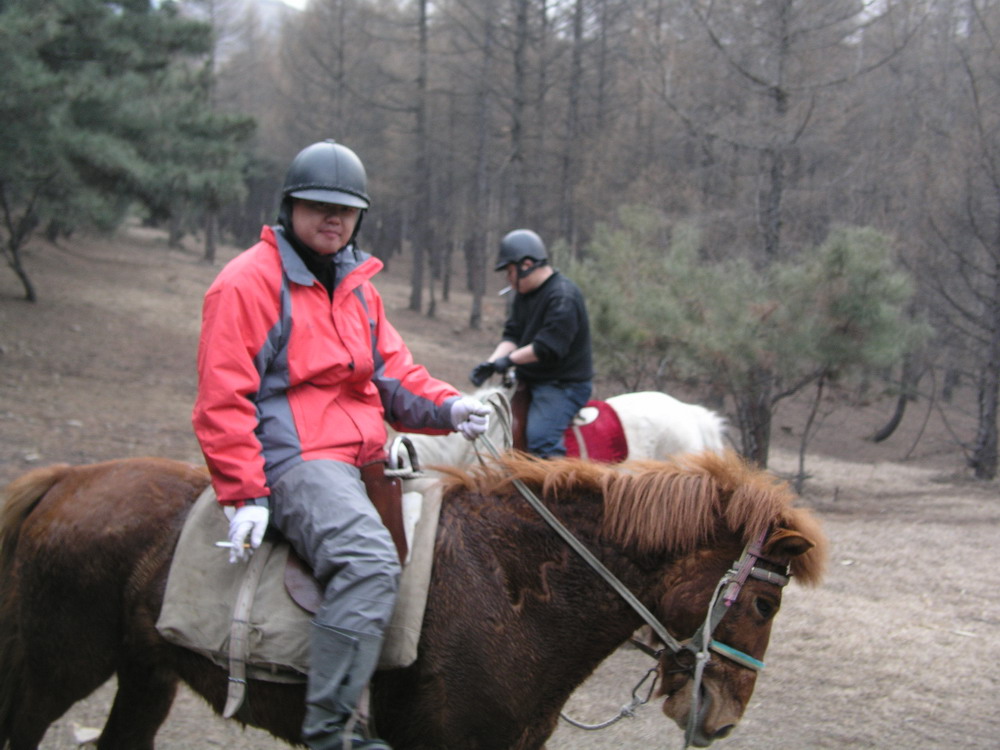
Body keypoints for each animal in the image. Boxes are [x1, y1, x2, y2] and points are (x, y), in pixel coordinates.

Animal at [0, 452, 824, 750]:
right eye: (766, 607)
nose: (722, 717)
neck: (514, 588)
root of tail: (71, 478)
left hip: (145, 676)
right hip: (54, 671)